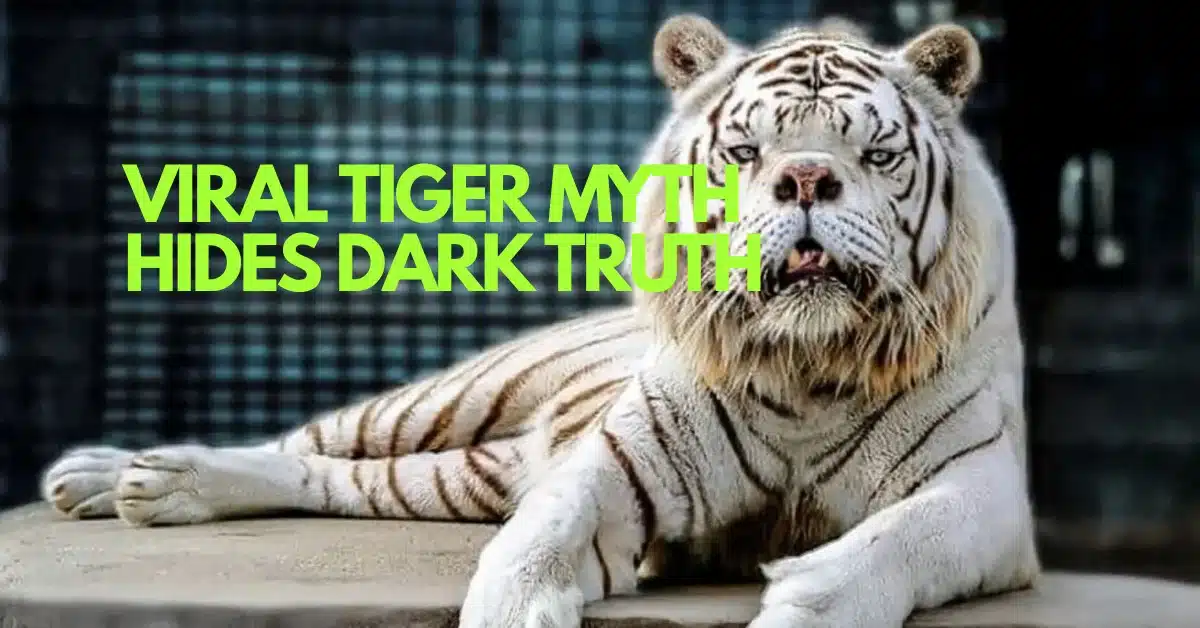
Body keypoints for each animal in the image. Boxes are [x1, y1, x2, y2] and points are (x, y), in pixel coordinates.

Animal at [38, 12, 1040, 628]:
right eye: (746, 150)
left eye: (875, 154)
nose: (804, 178)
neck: (806, 364)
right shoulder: (623, 462)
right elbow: (539, 540)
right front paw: (513, 606)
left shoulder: (983, 490)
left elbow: (899, 539)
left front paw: (804, 604)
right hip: (446, 399)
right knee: (304, 443)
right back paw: (122, 475)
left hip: (464, 473)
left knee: (338, 480)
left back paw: (139, 486)